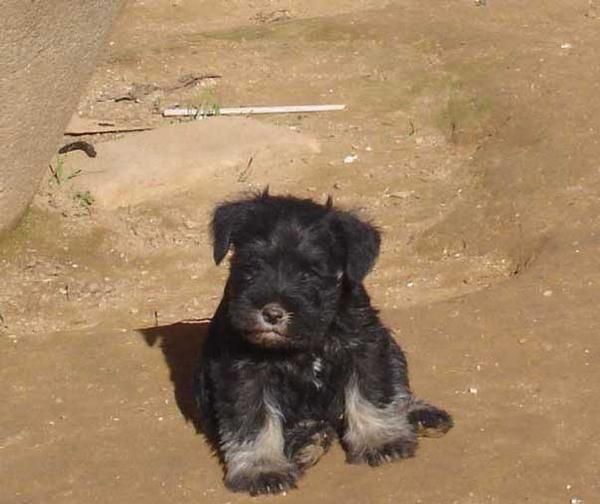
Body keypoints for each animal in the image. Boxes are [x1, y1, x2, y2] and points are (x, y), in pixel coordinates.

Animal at [195, 191, 452, 494]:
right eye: (252, 266)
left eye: (310, 273)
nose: (272, 313)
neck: (305, 339)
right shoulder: (243, 373)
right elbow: (253, 421)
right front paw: (262, 469)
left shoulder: (365, 347)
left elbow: (372, 393)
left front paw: (380, 440)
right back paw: (307, 441)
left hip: (392, 349)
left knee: (396, 388)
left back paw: (419, 414)